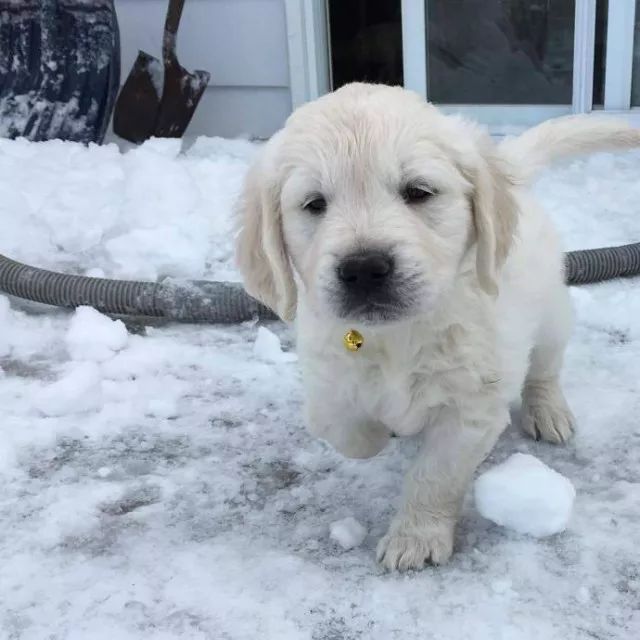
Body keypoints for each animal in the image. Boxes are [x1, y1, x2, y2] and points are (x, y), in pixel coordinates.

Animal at [235, 82, 640, 568]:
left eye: (418, 191)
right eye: (314, 204)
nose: (364, 269)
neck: (398, 334)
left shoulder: (472, 406)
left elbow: (436, 474)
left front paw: (416, 537)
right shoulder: (326, 365)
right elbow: (339, 426)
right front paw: (376, 432)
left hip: (552, 313)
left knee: (545, 368)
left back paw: (548, 411)